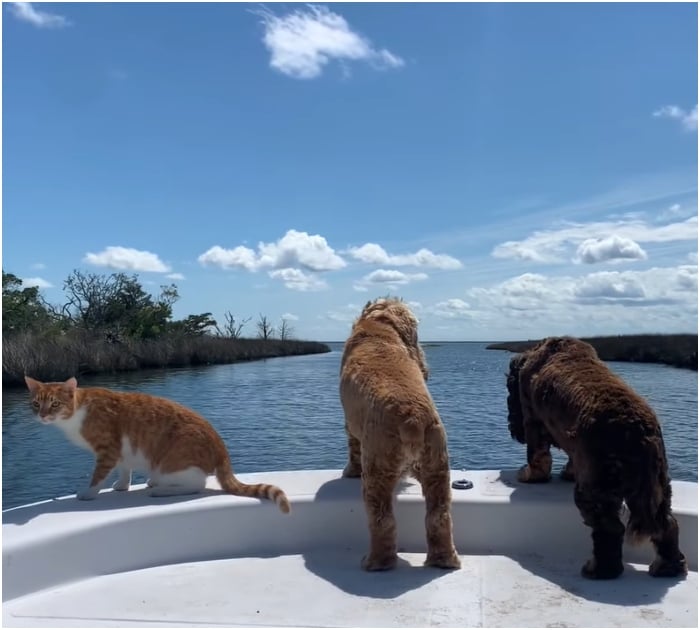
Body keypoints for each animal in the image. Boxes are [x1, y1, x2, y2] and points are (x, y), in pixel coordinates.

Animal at [26, 376, 290, 512]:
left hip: (171, 461)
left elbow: (98, 476)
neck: (77, 411)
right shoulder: (121, 451)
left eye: (55, 404)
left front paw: (88, 493)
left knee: (197, 484)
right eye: (36, 404)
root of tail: (221, 449)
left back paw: (161, 489)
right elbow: (124, 469)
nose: (42, 415)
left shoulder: (107, 449)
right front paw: (122, 485)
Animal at [338, 300, 460, 572]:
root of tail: (412, 419)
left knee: (382, 520)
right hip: (437, 466)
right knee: (439, 516)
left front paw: (349, 472)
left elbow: (352, 449)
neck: (380, 325)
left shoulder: (350, 424)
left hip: (377, 470)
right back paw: (445, 560)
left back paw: (375, 562)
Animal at [506, 338, 688, 580]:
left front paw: (528, 475)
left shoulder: (532, 419)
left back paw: (598, 570)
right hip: (659, 487)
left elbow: (537, 457)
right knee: (667, 524)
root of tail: (639, 433)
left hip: (595, 488)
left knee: (609, 529)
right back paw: (668, 567)